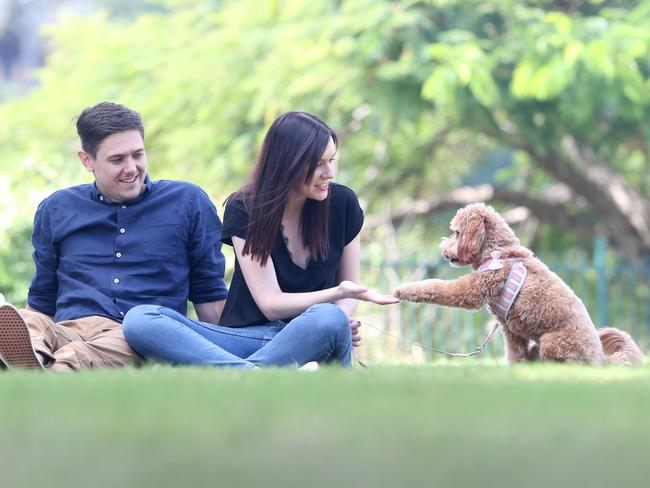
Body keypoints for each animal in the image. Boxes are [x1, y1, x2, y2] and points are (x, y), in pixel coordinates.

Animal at [392, 202, 640, 366]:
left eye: (456, 232)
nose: (442, 248)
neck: (498, 252)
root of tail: (602, 358)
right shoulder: (511, 332)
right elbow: (514, 355)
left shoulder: (475, 289)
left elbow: (437, 287)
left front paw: (403, 290)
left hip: (553, 341)